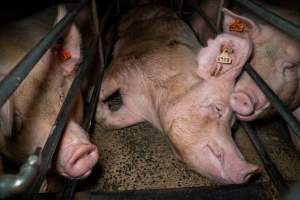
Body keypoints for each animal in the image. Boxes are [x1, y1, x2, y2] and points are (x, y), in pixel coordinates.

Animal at [96, 4, 258, 184]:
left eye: (233, 125)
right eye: (218, 109)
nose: (251, 170)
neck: (153, 104)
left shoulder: (135, 110)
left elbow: (113, 122)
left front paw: (101, 110)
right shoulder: (126, 63)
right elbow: (103, 88)